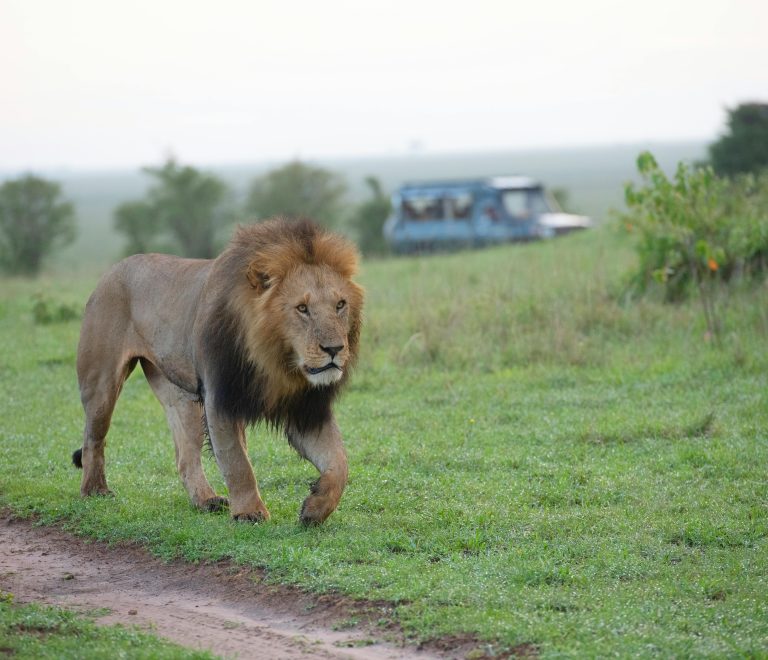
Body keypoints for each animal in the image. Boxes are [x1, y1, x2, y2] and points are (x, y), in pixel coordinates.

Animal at [72, 217, 363, 525]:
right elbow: (237, 462)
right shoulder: (220, 398)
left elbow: (340, 462)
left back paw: (206, 500)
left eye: (340, 305)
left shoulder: (306, 408)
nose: (334, 349)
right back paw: (95, 491)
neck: (276, 361)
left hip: (181, 396)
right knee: (93, 441)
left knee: (186, 457)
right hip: (101, 385)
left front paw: (316, 507)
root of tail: (112, 270)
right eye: (302, 308)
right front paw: (250, 513)